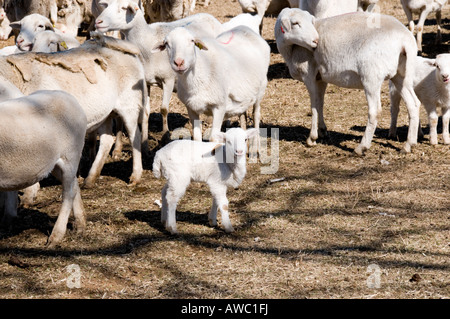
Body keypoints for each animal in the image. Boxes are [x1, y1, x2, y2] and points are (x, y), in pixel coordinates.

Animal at [0, 33, 151, 188]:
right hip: (106, 113)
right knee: (107, 140)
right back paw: (90, 178)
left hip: (129, 105)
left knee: (135, 136)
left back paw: (135, 176)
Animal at [0, 89, 87, 249]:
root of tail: (68, 96)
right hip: (55, 163)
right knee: (75, 185)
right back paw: (80, 225)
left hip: (71, 154)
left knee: (69, 193)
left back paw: (56, 236)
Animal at [96, 0, 222, 134]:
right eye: (108, 5)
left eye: (124, 8)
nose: (98, 22)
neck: (147, 42)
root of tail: (210, 17)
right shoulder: (146, 82)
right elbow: (145, 112)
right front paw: (144, 133)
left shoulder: (169, 80)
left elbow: (164, 109)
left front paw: (165, 132)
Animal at [274, 8, 422, 155]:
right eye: (295, 23)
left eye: (310, 21)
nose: (316, 41)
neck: (291, 49)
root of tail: (405, 39)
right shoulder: (320, 78)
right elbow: (320, 103)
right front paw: (322, 131)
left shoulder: (308, 75)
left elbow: (314, 105)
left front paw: (312, 138)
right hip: (401, 74)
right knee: (413, 104)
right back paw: (409, 145)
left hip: (371, 76)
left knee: (375, 110)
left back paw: (362, 147)